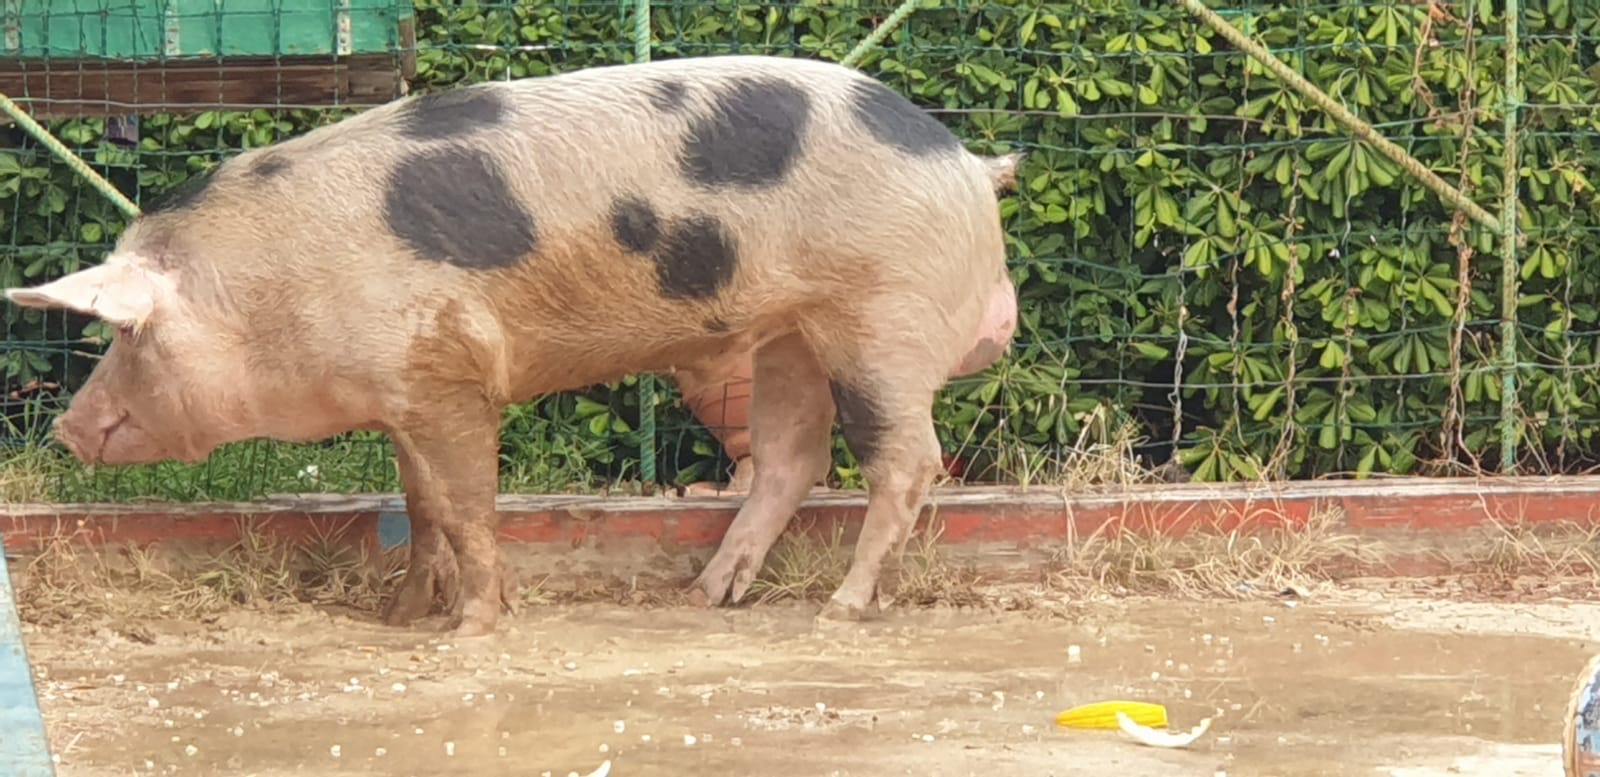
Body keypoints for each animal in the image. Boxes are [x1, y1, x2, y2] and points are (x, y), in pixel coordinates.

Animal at [4, 54, 1020, 638]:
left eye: (124, 334)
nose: (65, 427)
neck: (271, 290)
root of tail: (971, 165)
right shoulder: (405, 393)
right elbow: (421, 507)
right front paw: (400, 615)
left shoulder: (448, 374)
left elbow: (465, 506)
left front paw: (474, 629)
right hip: (788, 333)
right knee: (790, 457)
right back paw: (704, 596)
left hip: (880, 319)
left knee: (906, 459)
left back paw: (841, 610)